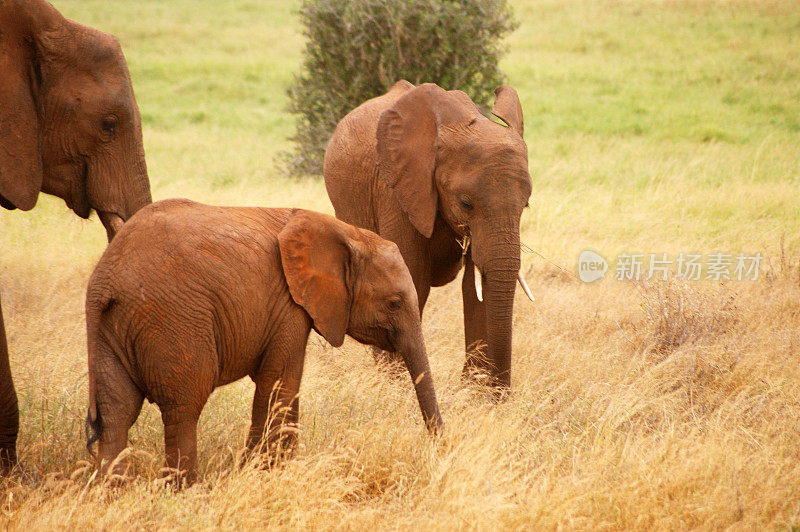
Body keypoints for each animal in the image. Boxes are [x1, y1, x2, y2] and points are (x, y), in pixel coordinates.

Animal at [86, 200, 444, 486]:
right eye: (394, 303)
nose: (439, 447)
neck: (346, 232)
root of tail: (106, 281)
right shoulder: (288, 304)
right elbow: (279, 383)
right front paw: (258, 471)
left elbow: (287, 388)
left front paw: (280, 467)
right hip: (174, 320)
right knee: (183, 406)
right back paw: (185, 489)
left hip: (108, 332)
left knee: (117, 412)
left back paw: (112, 492)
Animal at [322, 81, 536, 392]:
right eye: (466, 203)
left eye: (526, 204)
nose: (501, 394)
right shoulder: (398, 190)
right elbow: (413, 278)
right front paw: (397, 386)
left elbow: (475, 288)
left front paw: (473, 390)